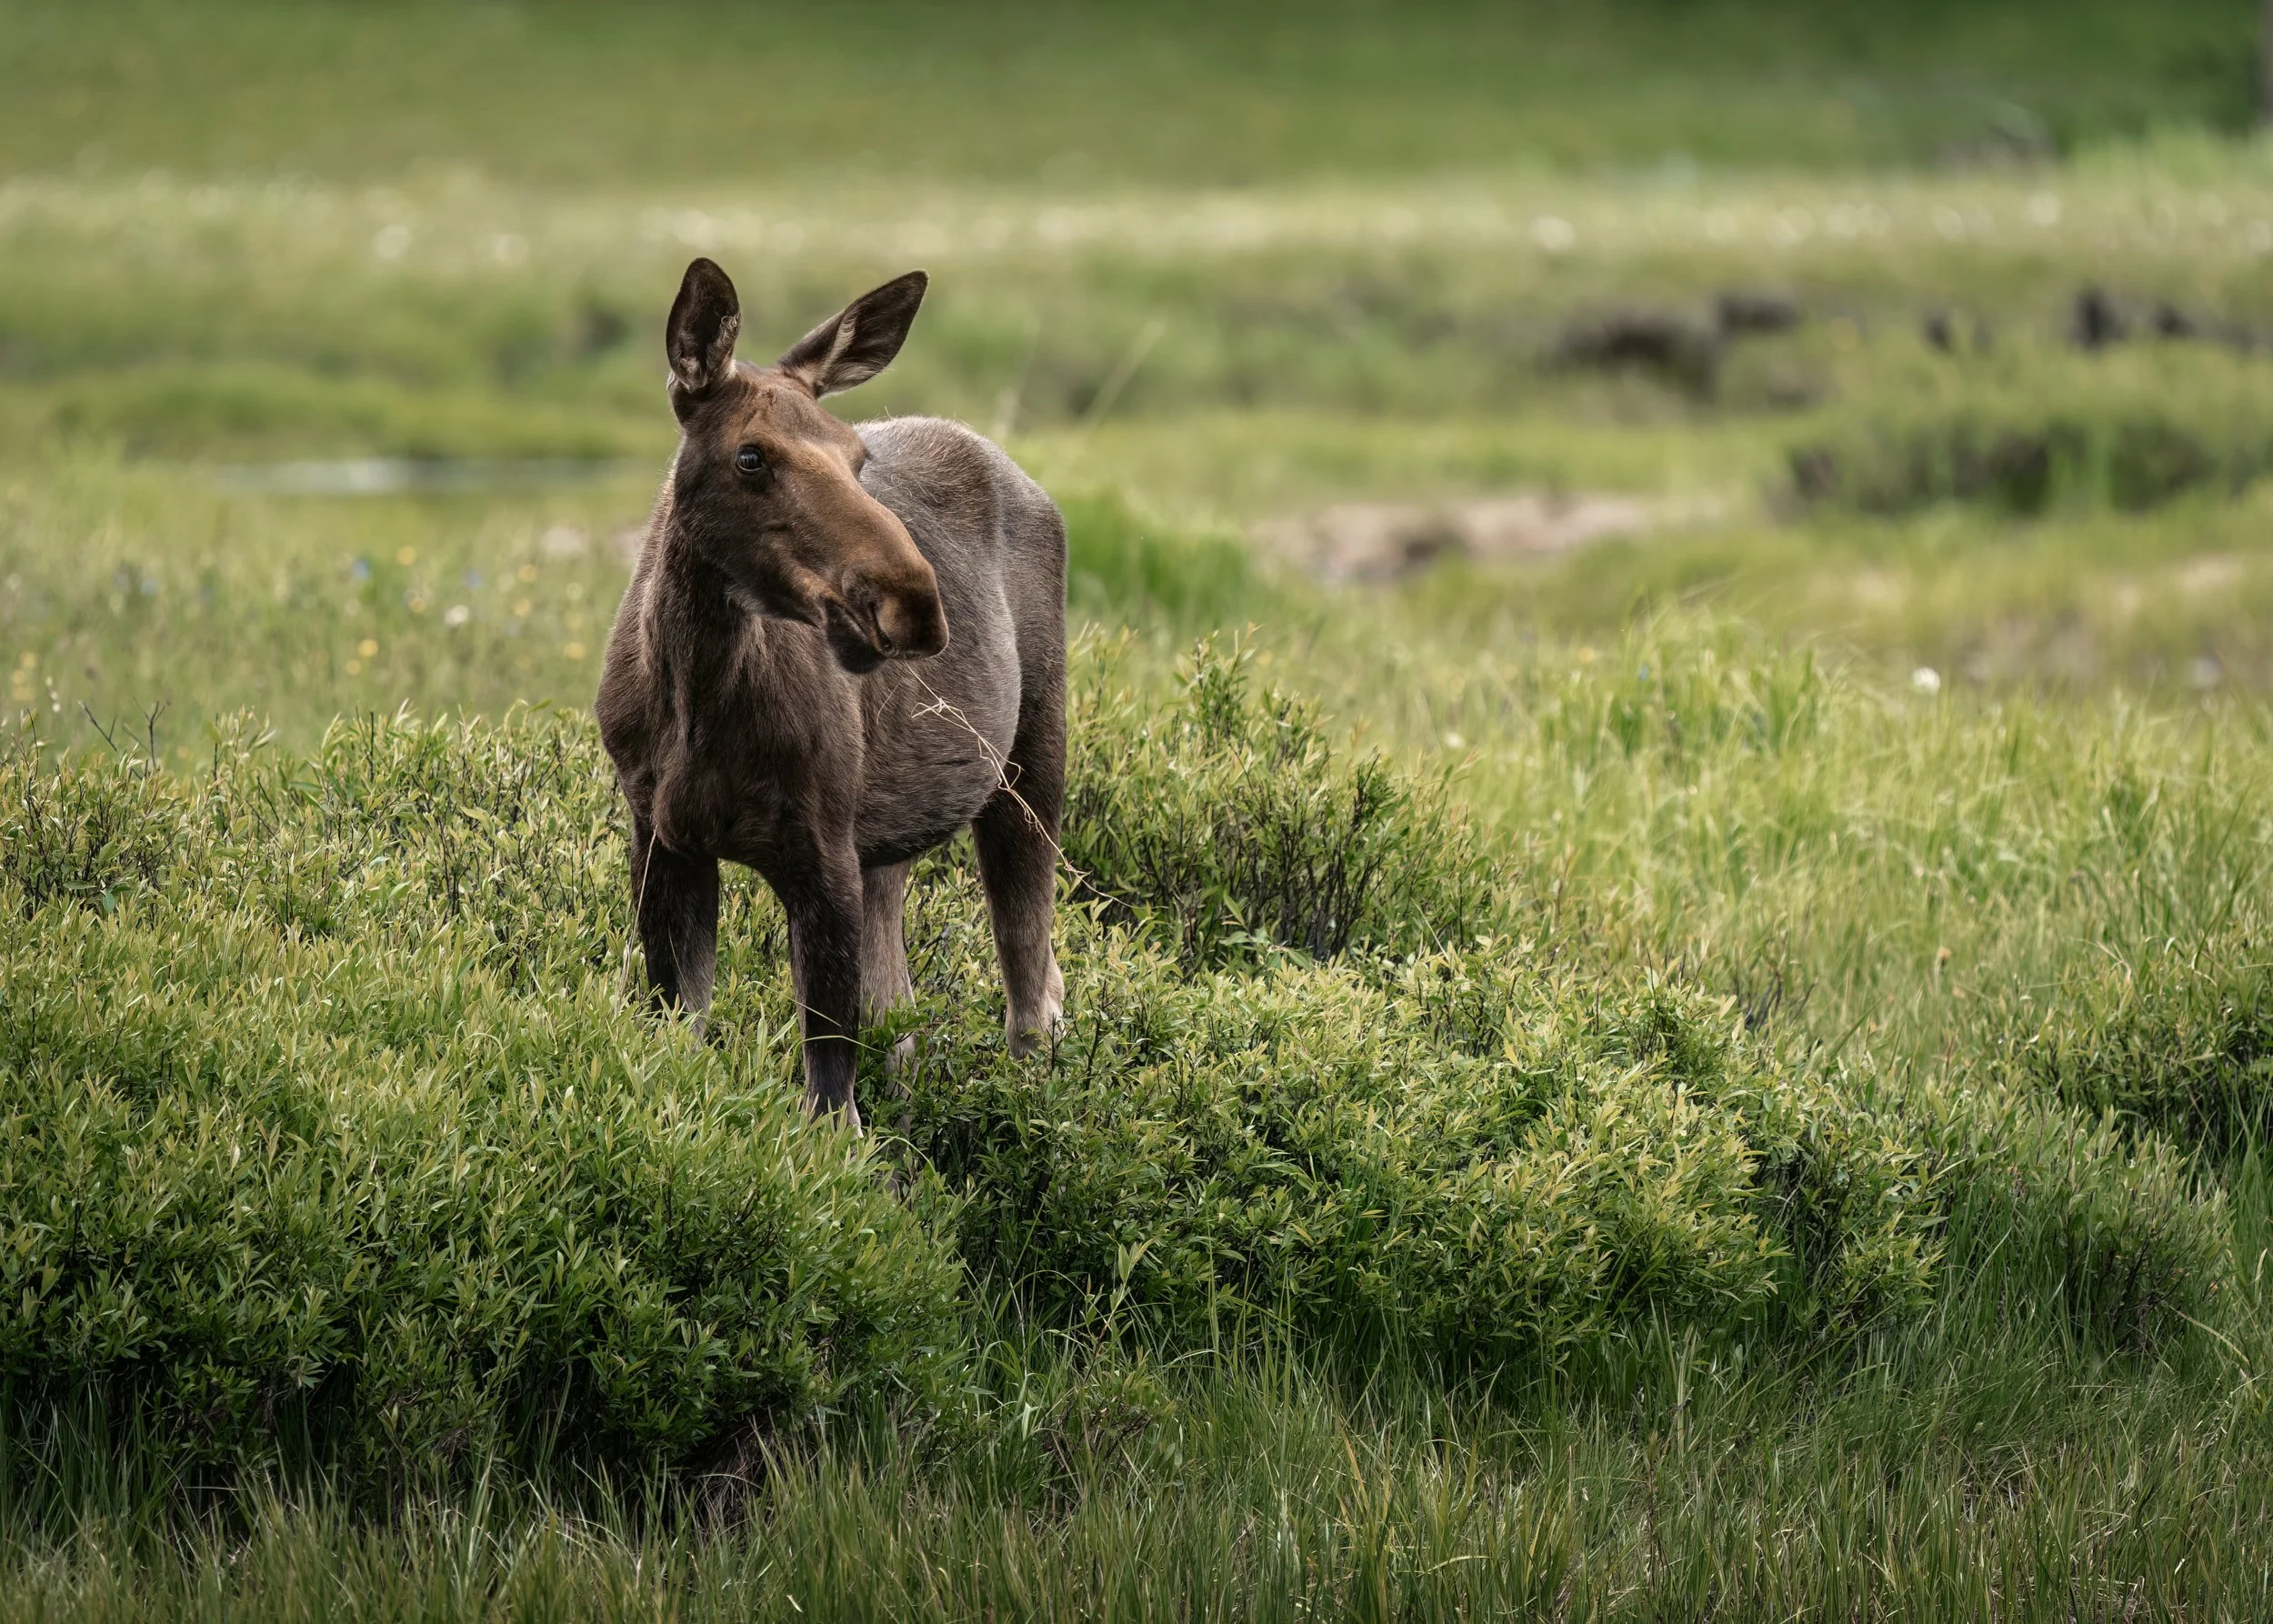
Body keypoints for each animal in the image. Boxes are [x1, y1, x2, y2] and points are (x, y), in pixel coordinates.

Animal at [596, 258, 1066, 1132]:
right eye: (751, 456)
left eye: (856, 457)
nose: (912, 602)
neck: (696, 701)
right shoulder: (664, 834)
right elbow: (682, 1038)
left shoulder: (820, 850)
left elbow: (830, 1102)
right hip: (886, 844)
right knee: (905, 1013)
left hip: (1031, 759)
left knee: (1032, 990)